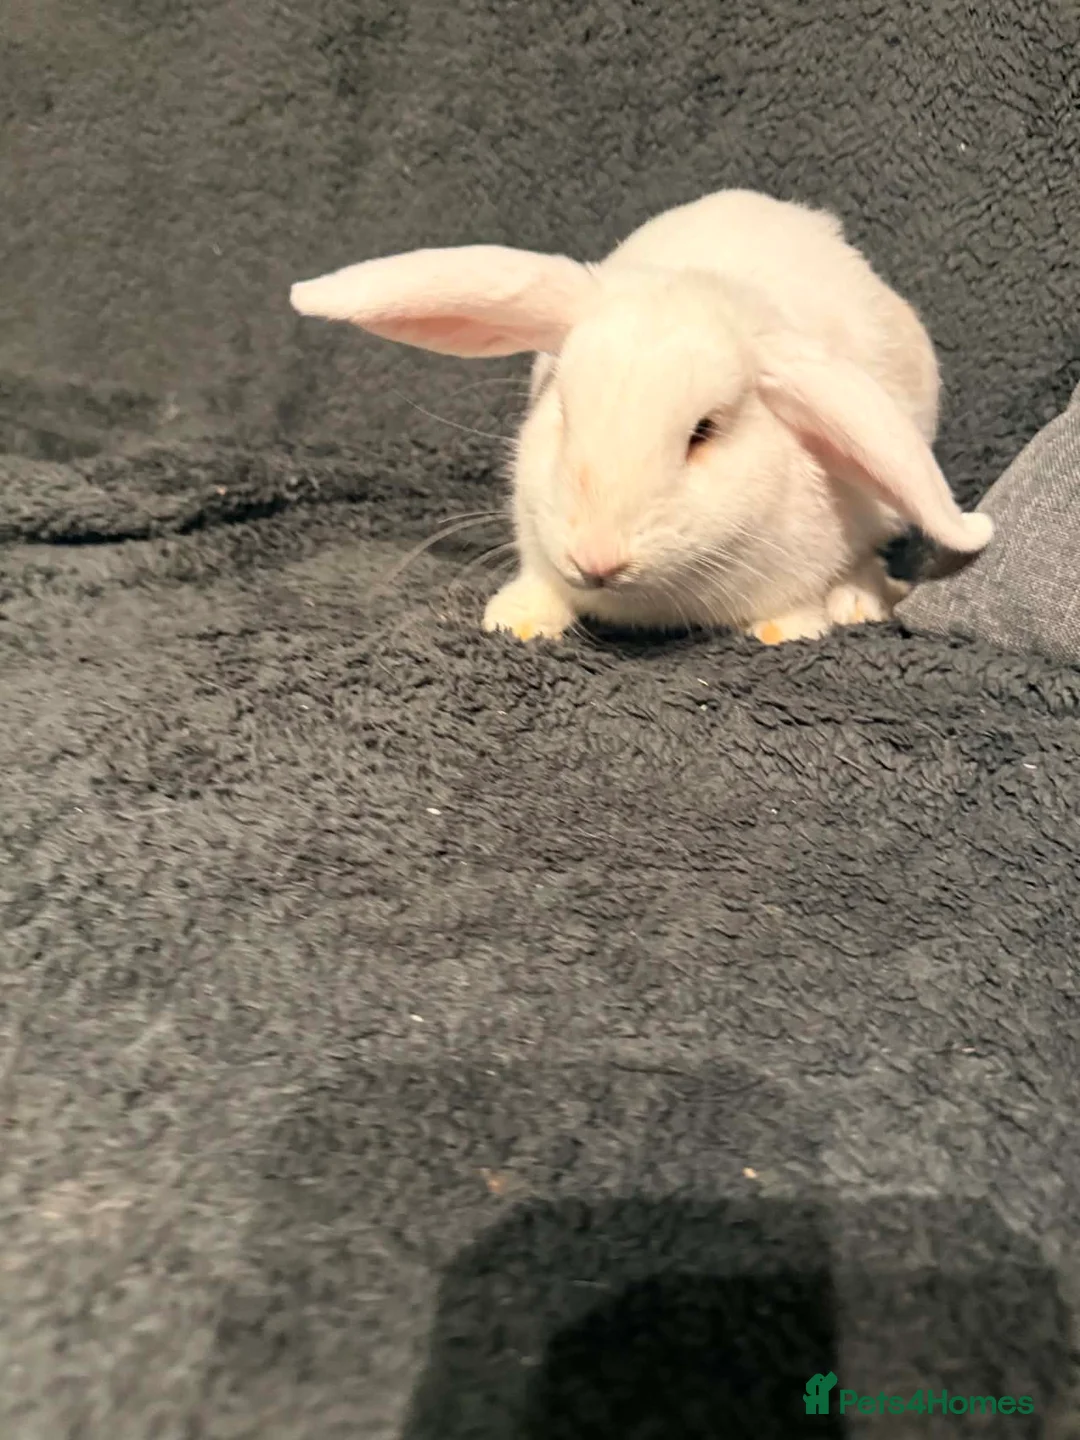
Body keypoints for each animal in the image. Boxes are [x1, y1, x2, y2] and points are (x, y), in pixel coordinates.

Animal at [290, 189, 992, 645]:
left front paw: (786, 629)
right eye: (564, 410)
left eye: (703, 433)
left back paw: (856, 601)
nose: (596, 560)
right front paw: (517, 621)